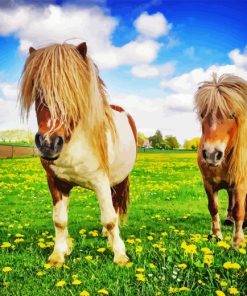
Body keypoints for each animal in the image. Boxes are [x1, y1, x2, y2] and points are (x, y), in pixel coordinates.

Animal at [19, 41, 137, 266]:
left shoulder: (101, 181)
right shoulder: (56, 183)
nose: (48, 143)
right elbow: (59, 220)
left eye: (73, 93)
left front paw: (120, 255)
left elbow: (110, 218)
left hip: (119, 180)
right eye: (38, 91)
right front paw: (58, 254)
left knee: (115, 208)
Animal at [195, 73, 247, 247]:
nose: (211, 154)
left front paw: (237, 242)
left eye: (232, 115)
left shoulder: (240, 184)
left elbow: (239, 210)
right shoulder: (208, 183)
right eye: (203, 115)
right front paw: (216, 234)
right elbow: (213, 207)